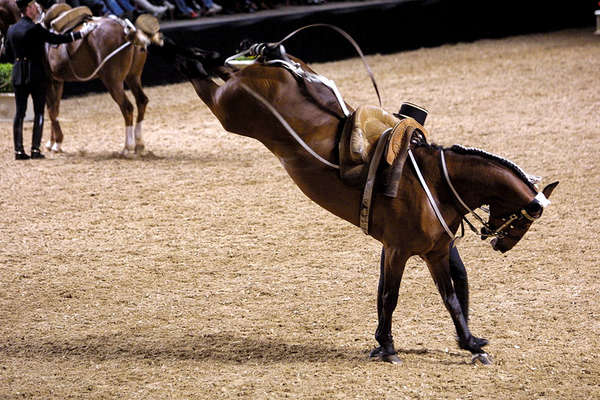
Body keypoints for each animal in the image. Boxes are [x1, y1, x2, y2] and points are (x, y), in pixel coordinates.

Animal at [169, 45, 556, 364]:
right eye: (525, 219)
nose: (501, 244)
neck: (435, 185)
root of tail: (270, 66)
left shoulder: (431, 251)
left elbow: (450, 293)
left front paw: (469, 342)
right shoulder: (402, 251)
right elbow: (399, 296)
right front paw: (391, 348)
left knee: (219, 68)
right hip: (229, 111)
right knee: (202, 79)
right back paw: (178, 52)